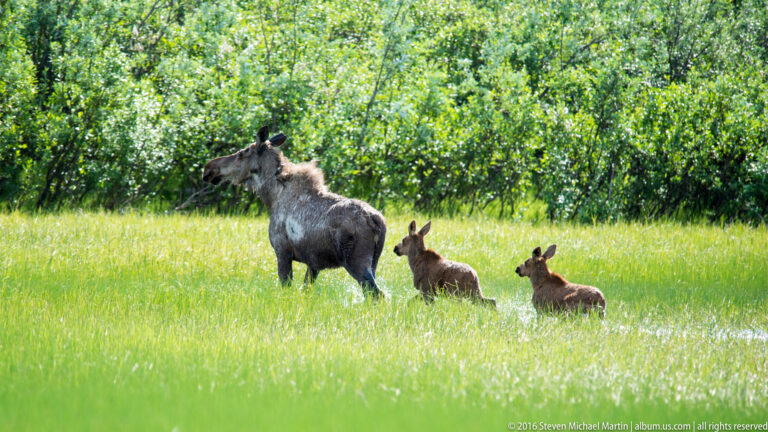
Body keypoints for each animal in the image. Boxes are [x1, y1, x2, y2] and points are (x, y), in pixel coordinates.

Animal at [202, 126, 387, 299]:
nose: (208, 169)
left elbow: (286, 286)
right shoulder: (313, 263)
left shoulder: (282, 250)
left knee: (377, 294)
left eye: (241, 154)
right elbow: (306, 289)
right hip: (374, 262)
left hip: (356, 261)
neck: (271, 197)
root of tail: (377, 221)